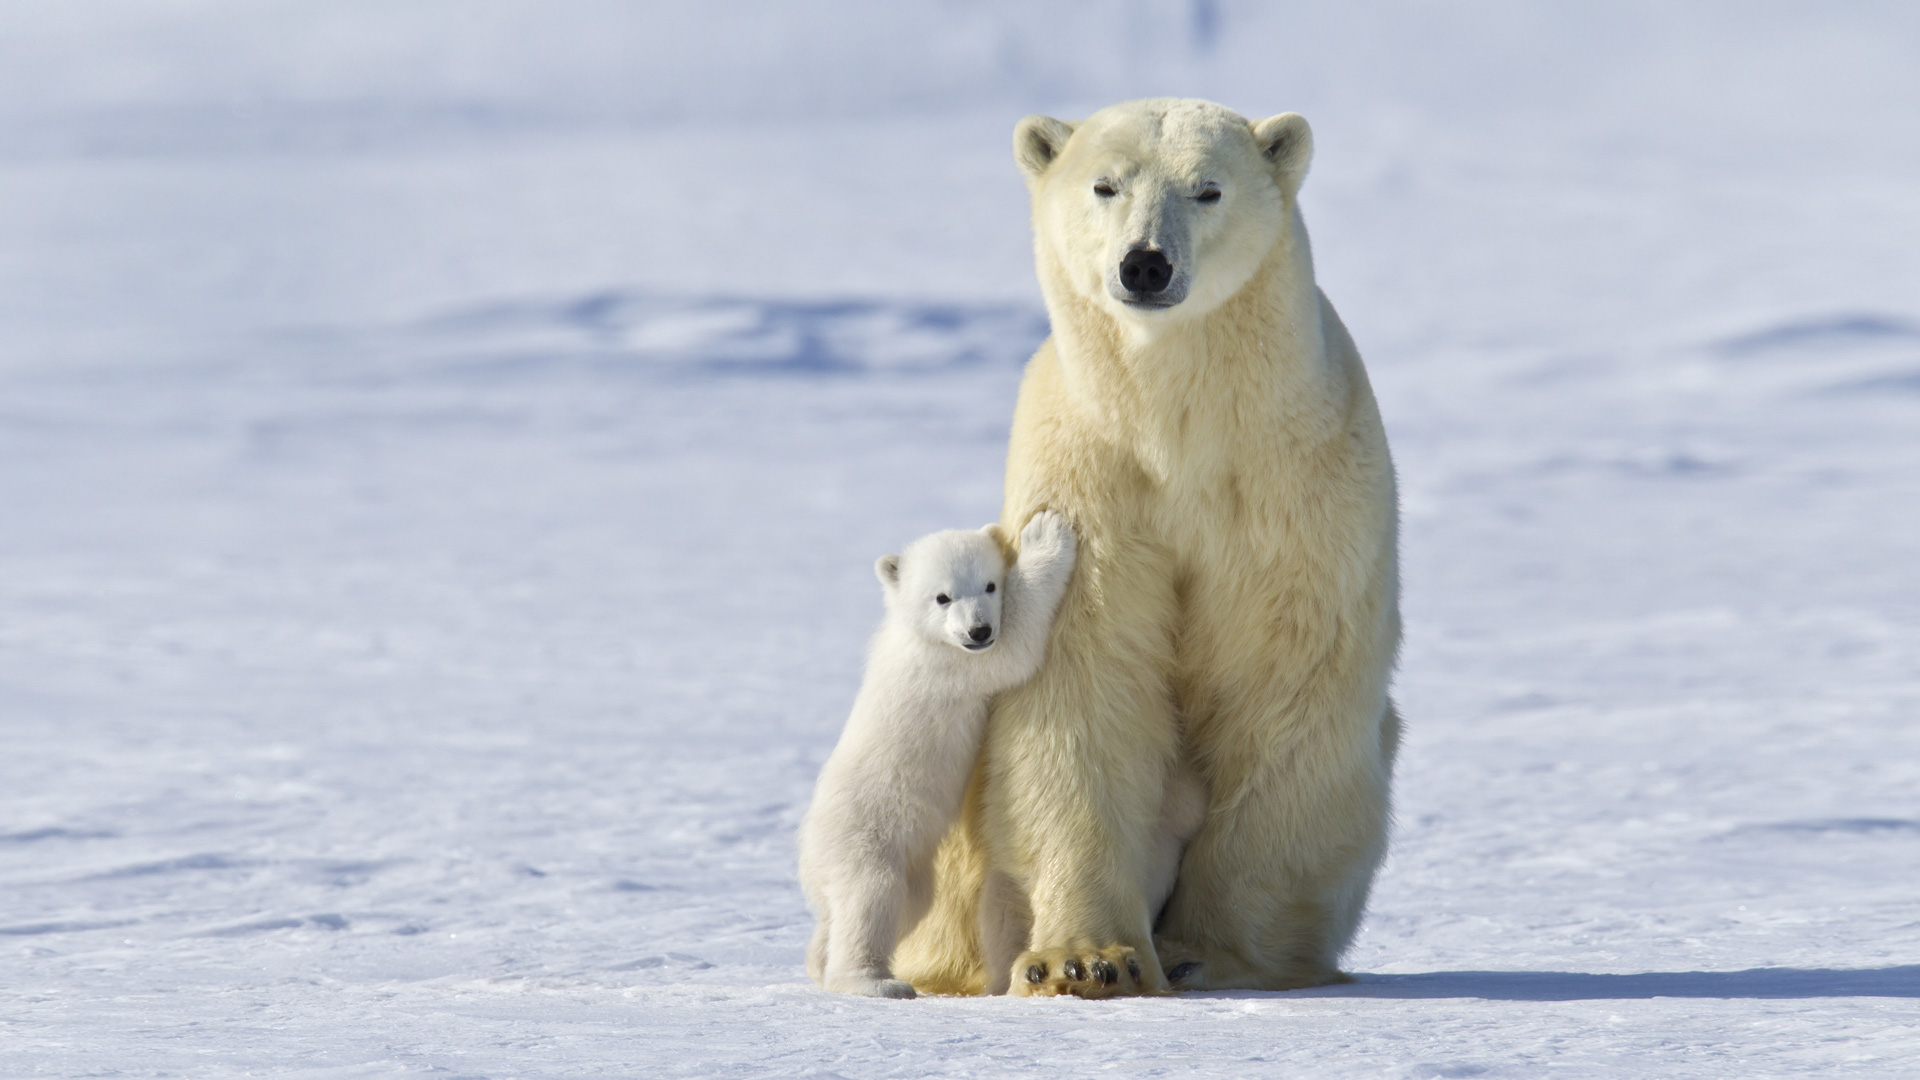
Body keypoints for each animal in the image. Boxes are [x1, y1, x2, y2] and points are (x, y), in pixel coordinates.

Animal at [794, 507, 1082, 999]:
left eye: (989, 584)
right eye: (942, 597)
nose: (978, 629)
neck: (918, 636)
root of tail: (807, 854)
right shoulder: (951, 665)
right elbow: (1014, 647)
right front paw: (1045, 535)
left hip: (911, 867)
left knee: (896, 906)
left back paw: (819, 959)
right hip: (864, 835)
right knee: (870, 896)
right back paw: (877, 982)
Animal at [890, 100, 1405, 991]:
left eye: (1207, 188)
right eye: (1106, 184)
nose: (1145, 265)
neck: (1180, 429)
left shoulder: (1297, 488)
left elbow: (1285, 683)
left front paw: (1213, 952)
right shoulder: (1091, 481)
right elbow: (1083, 685)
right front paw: (1086, 960)